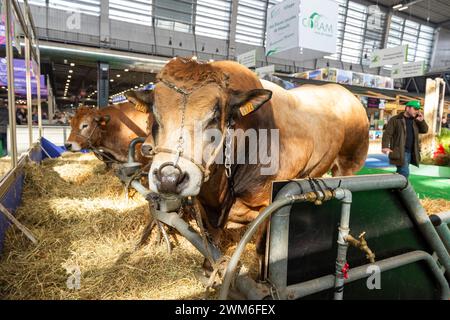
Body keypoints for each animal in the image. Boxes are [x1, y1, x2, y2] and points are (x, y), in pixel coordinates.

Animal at [142, 58, 370, 260]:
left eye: (215, 117)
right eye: (154, 113)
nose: (169, 178)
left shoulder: (268, 205)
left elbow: (262, 251)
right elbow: (213, 246)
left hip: (349, 163)